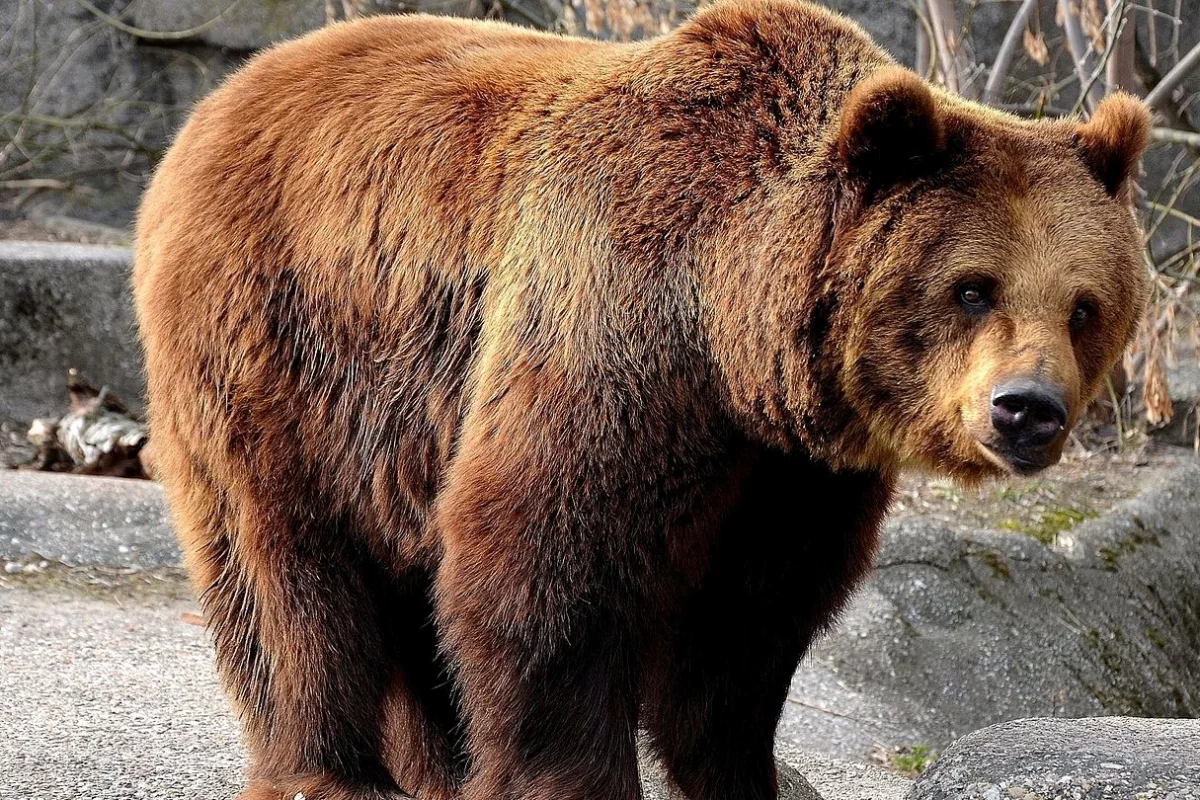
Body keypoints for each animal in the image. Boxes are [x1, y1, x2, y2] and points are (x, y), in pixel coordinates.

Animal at [133, 0, 1152, 796]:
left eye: (1084, 306)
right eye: (972, 287)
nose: (1027, 408)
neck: (738, 337)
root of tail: (220, 101)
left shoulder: (792, 472)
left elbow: (748, 628)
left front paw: (740, 773)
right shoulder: (620, 328)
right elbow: (548, 563)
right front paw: (569, 777)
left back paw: (436, 767)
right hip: (279, 346)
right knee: (287, 567)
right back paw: (327, 772)